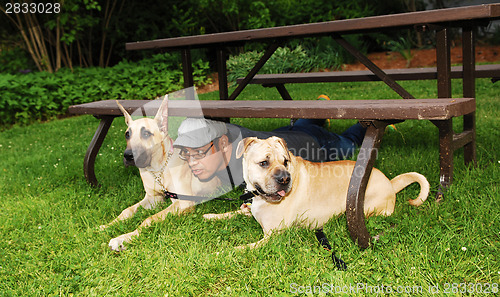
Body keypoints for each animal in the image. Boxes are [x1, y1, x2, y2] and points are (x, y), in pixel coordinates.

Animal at [99, 98, 219, 251]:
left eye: (146, 133)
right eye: (127, 134)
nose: (128, 156)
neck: (158, 169)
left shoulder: (183, 202)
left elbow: (149, 218)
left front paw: (124, 238)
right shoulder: (153, 198)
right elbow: (127, 210)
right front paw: (108, 225)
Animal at [205, 136, 428, 247]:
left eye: (285, 161)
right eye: (264, 163)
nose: (285, 179)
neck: (259, 197)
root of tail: (390, 183)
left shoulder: (272, 235)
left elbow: (246, 247)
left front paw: (227, 251)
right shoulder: (249, 209)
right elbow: (234, 212)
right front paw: (212, 215)